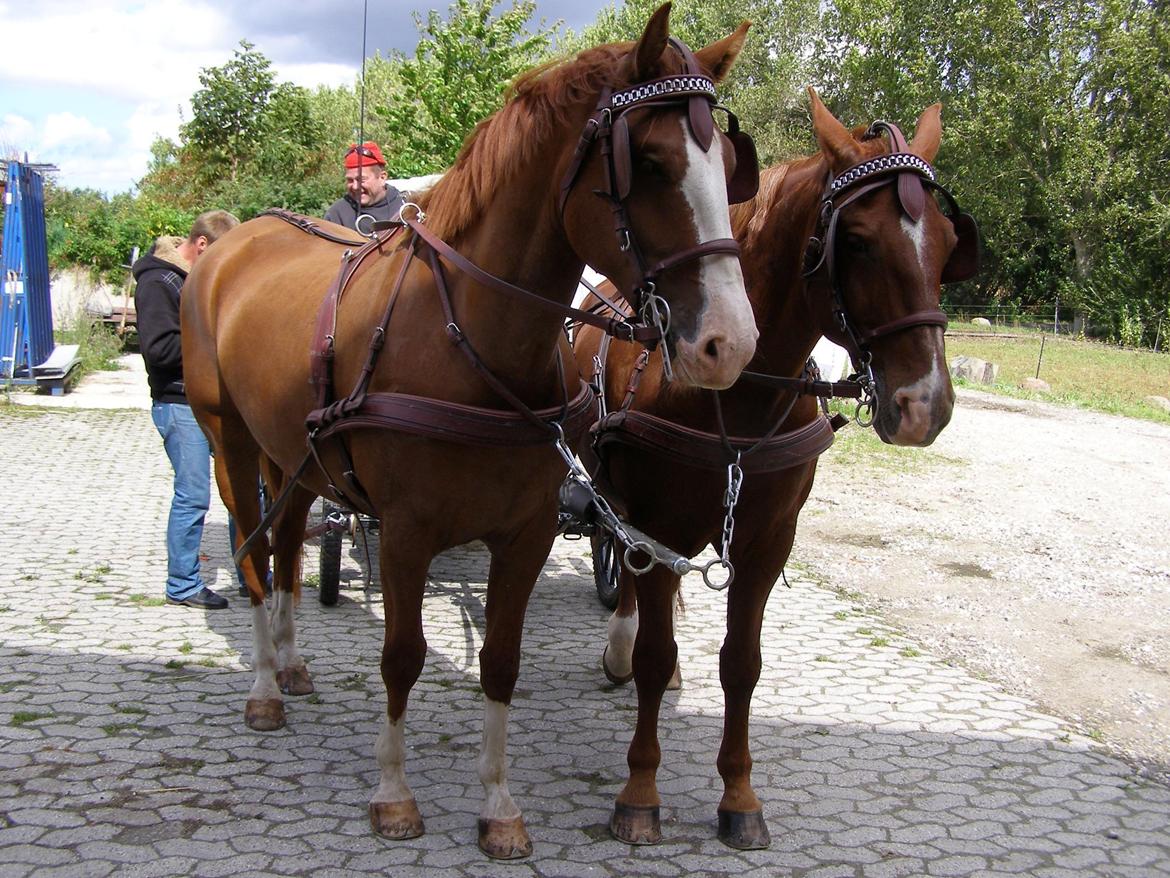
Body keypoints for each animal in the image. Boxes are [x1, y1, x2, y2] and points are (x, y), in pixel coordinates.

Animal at [177, 5, 753, 861]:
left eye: (727, 164)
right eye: (648, 161)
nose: (730, 342)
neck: (464, 337)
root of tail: (233, 243)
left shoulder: (525, 533)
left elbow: (501, 662)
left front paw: (498, 805)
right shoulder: (408, 529)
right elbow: (402, 657)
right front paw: (392, 794)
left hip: (296, 458)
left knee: (285, 549)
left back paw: (291, 663)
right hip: (231, 444)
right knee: (254, 560)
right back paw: (264, 689)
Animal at [573, 87, 978, 847]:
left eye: (945, 242)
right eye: (856, 240)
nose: (926, 405)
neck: (737, 393)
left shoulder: (768, 543)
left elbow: (742, 664)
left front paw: (739, 796)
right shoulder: (655, 526)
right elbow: (652, 657)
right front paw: (640, 792)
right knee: (627, 574)